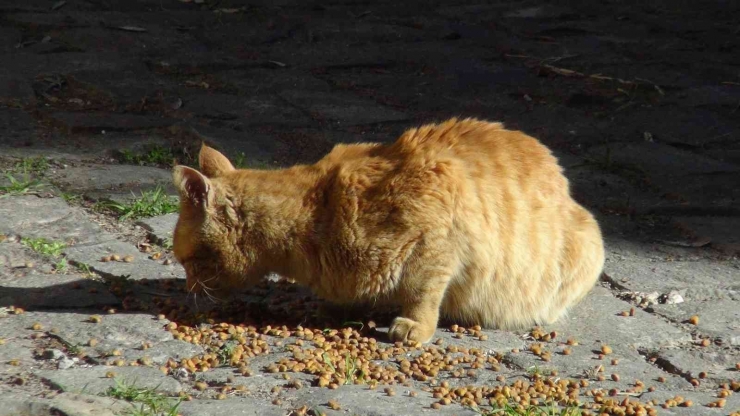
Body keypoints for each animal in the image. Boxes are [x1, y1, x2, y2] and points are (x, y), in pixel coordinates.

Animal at [173, 118, 608, 344]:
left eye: (188, 261)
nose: (190, 289)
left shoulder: (436, 244)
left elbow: (422, 294)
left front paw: (414, 326)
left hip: (589, 244)